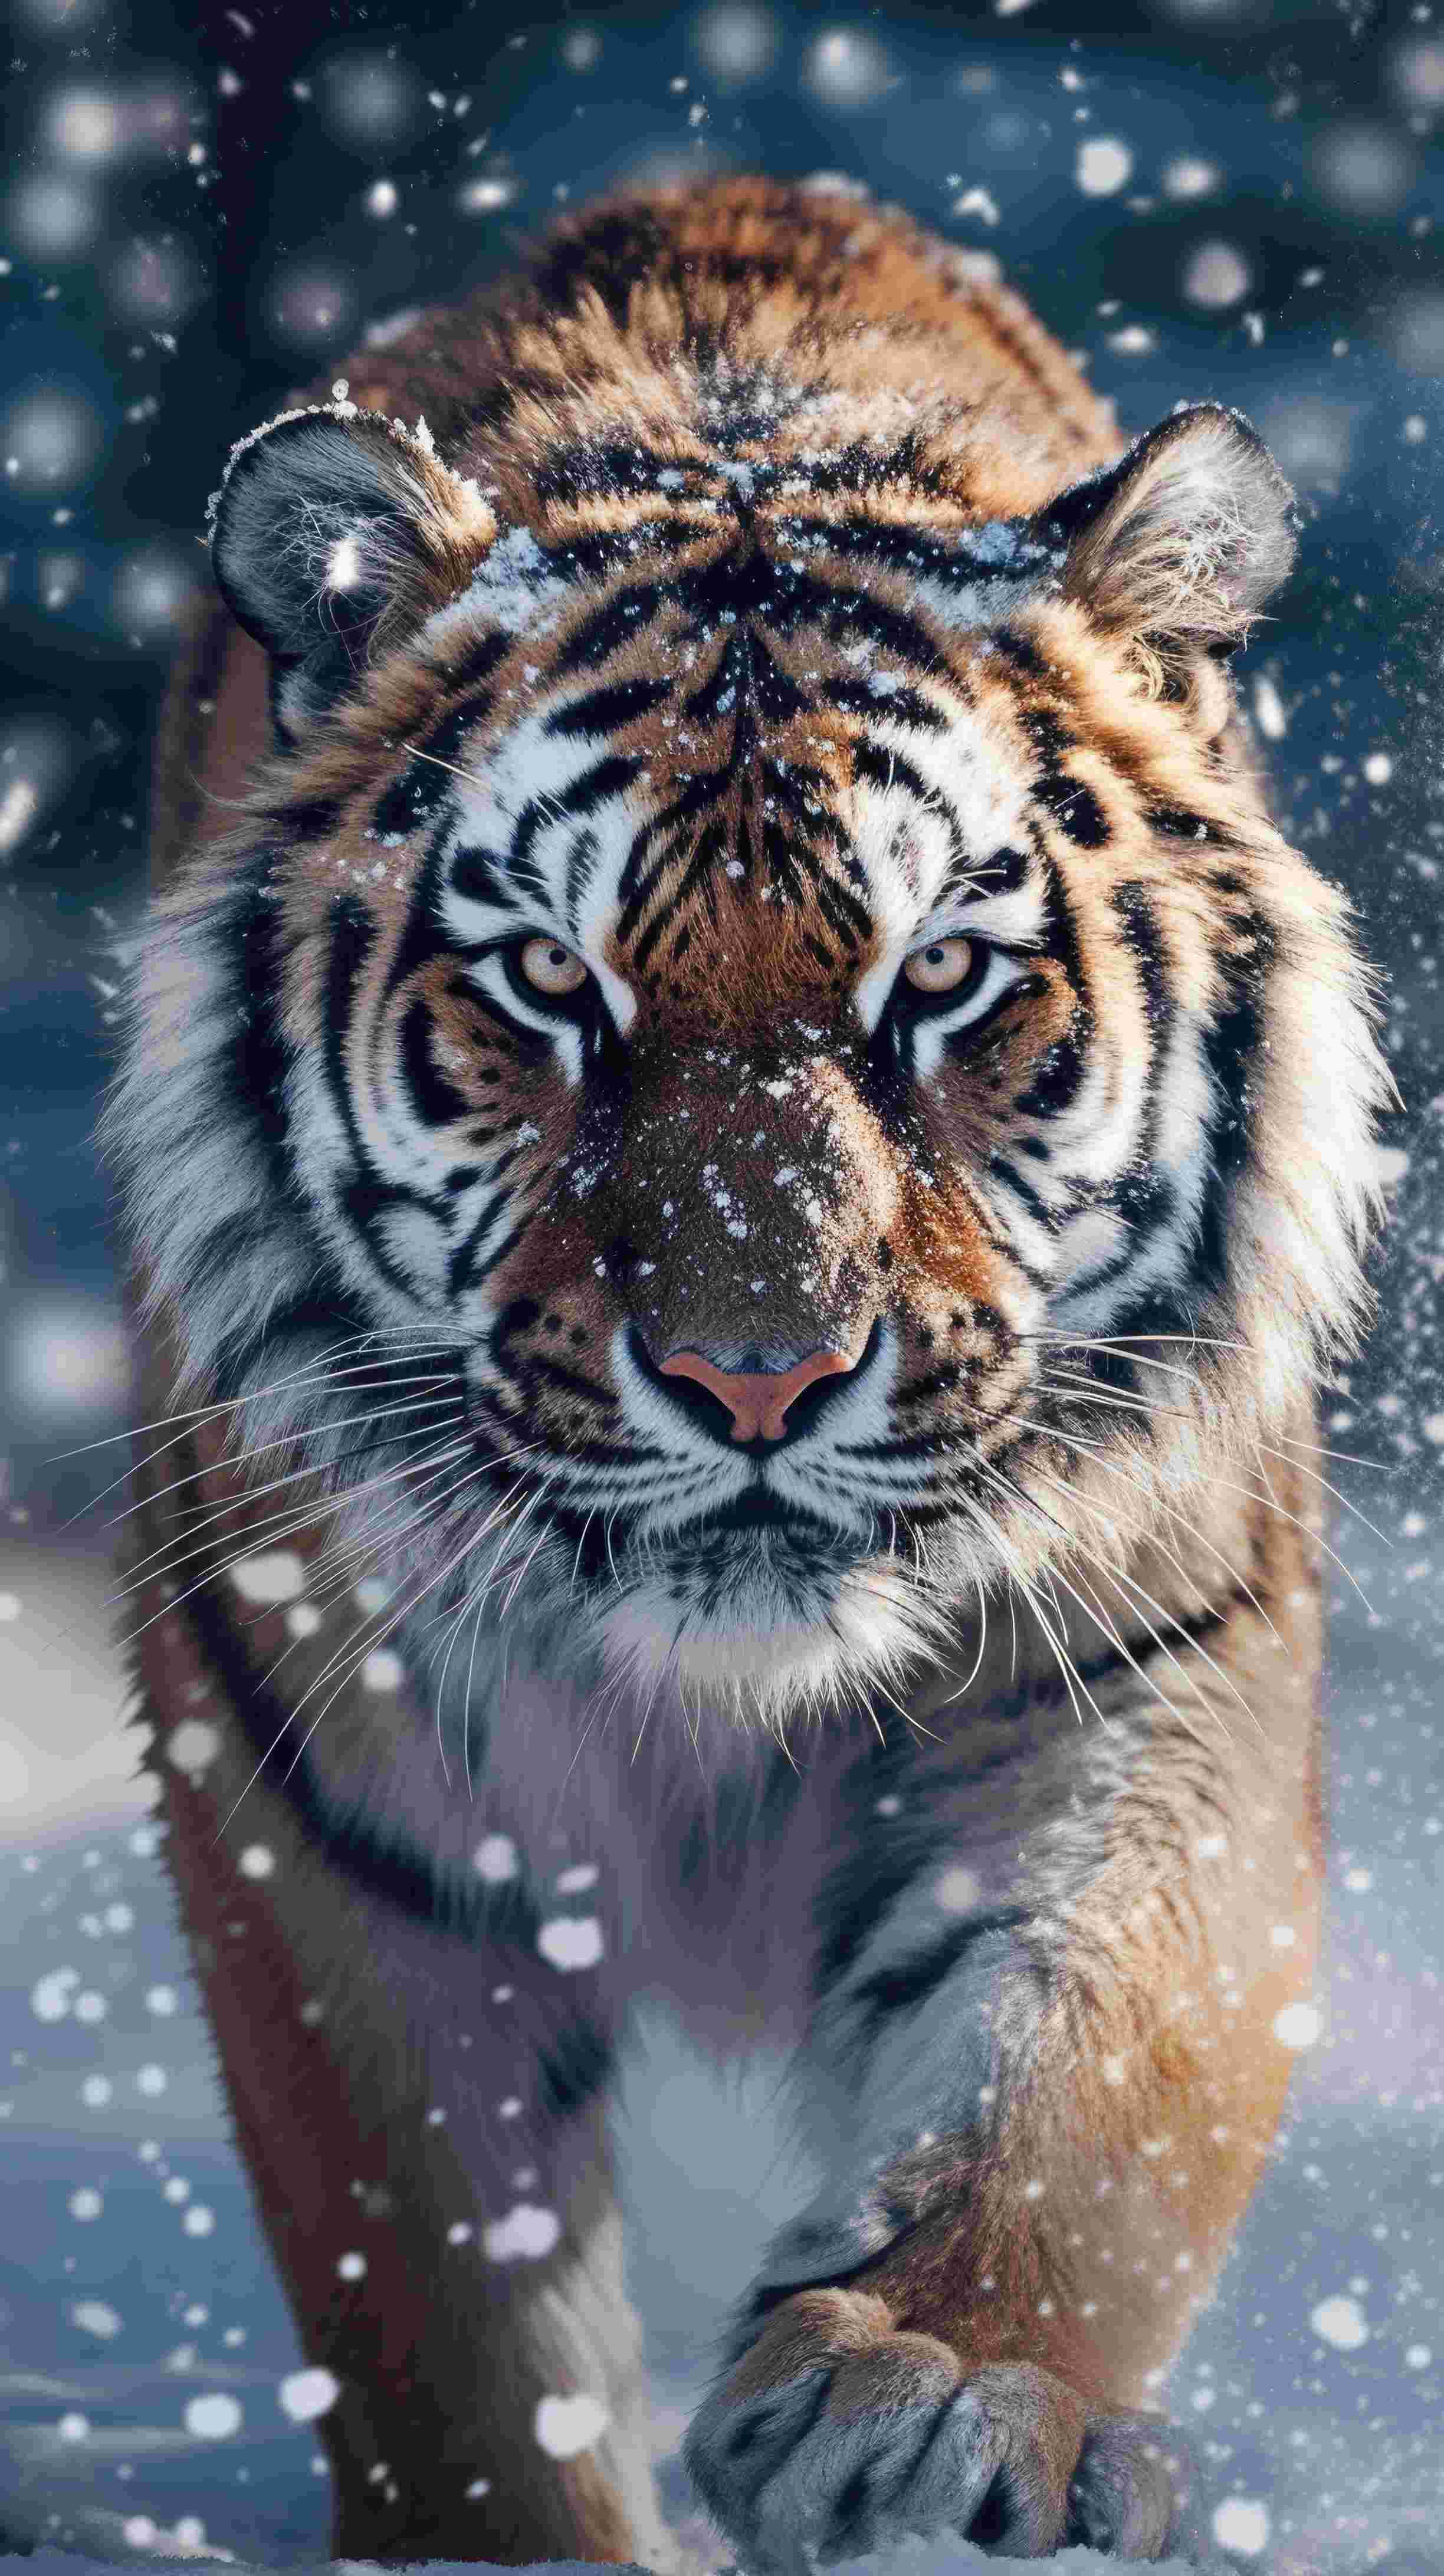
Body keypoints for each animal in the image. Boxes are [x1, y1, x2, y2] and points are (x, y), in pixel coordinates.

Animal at [110, 175, 1390, 2569]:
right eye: (551, 986)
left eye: (942, 980)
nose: (757, 1379)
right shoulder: (324, 1778)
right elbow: (441, 2301)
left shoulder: (1152, 1649)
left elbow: (1103, 2062)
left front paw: (932, 2390)